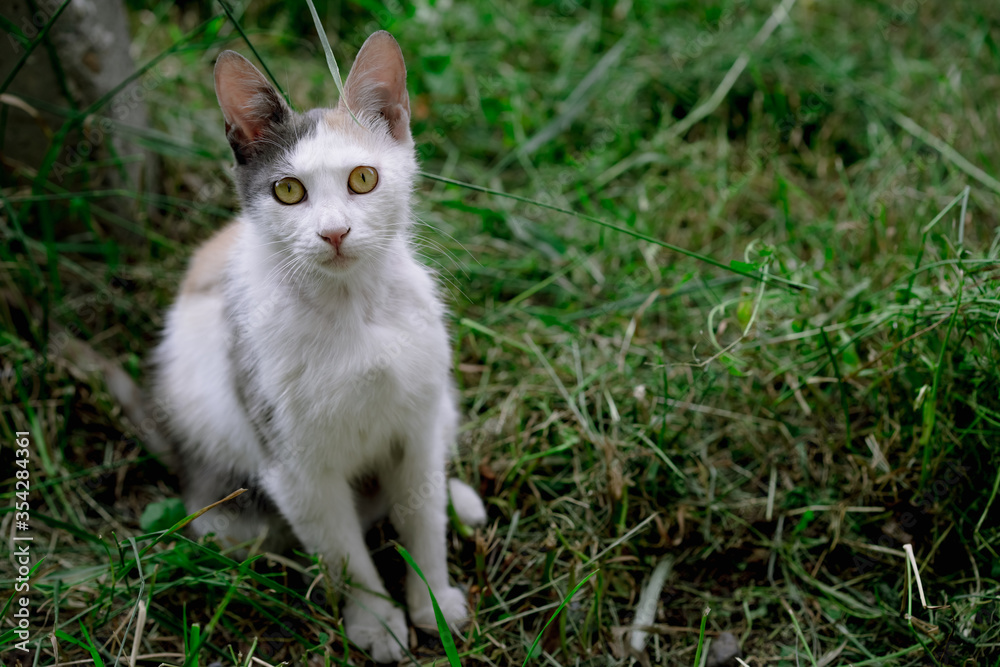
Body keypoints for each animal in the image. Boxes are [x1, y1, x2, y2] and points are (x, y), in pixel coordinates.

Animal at [149, 30, 488, 664]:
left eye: (363, 179)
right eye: (288, 190)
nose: (334, 232)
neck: (352, 312)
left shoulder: (416, 420)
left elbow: (421, 512)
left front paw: (432, 597)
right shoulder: (294, 465)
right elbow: (342, 550)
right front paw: (376, 621)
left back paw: (459, 501)